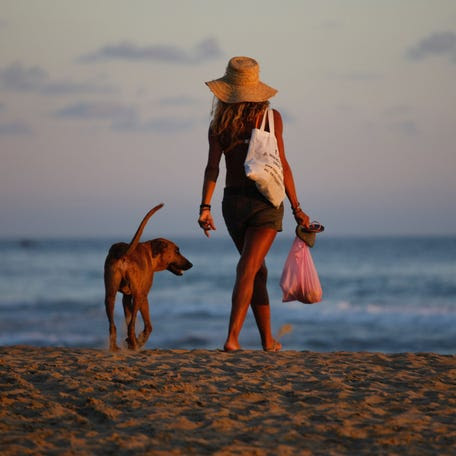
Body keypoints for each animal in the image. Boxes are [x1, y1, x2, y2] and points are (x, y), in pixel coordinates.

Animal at [104, 205, 191, 350]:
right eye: (177, 251)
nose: (191, 264)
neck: (151, 254)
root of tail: (123, 252)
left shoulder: (126, 297)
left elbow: (128, 317)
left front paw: (131, 341)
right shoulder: (144, 296)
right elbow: (148, 326)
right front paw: (139, 340)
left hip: (110, 294)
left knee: (112, 325)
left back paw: (115, 347)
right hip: (138, 297)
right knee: (131, 326)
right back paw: (135, 345)